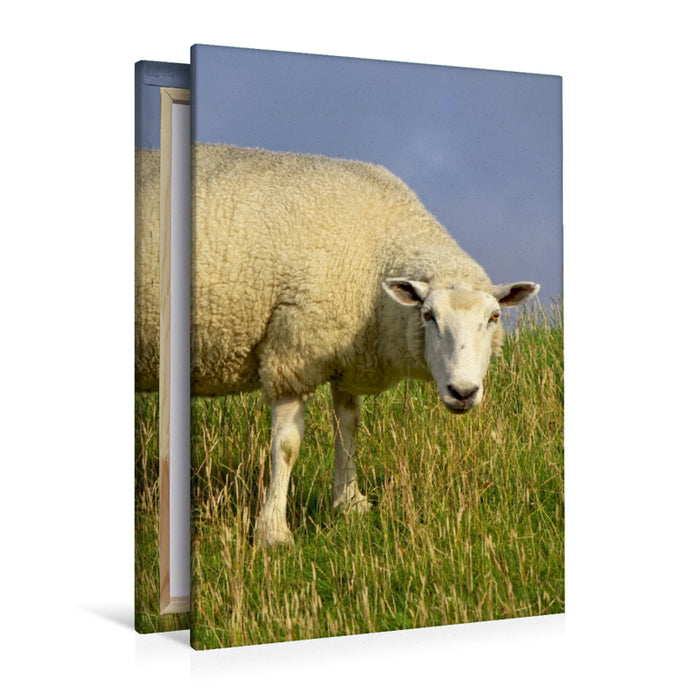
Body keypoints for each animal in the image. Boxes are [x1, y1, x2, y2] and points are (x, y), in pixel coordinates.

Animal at [185, 143, 540, 546]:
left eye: (494, 317)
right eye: (428, 315)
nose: (462, 392)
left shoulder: (346, 354)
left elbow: (349, 425)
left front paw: (349, 504)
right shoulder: (292, 353)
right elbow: (287, 446)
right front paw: (273, 532)